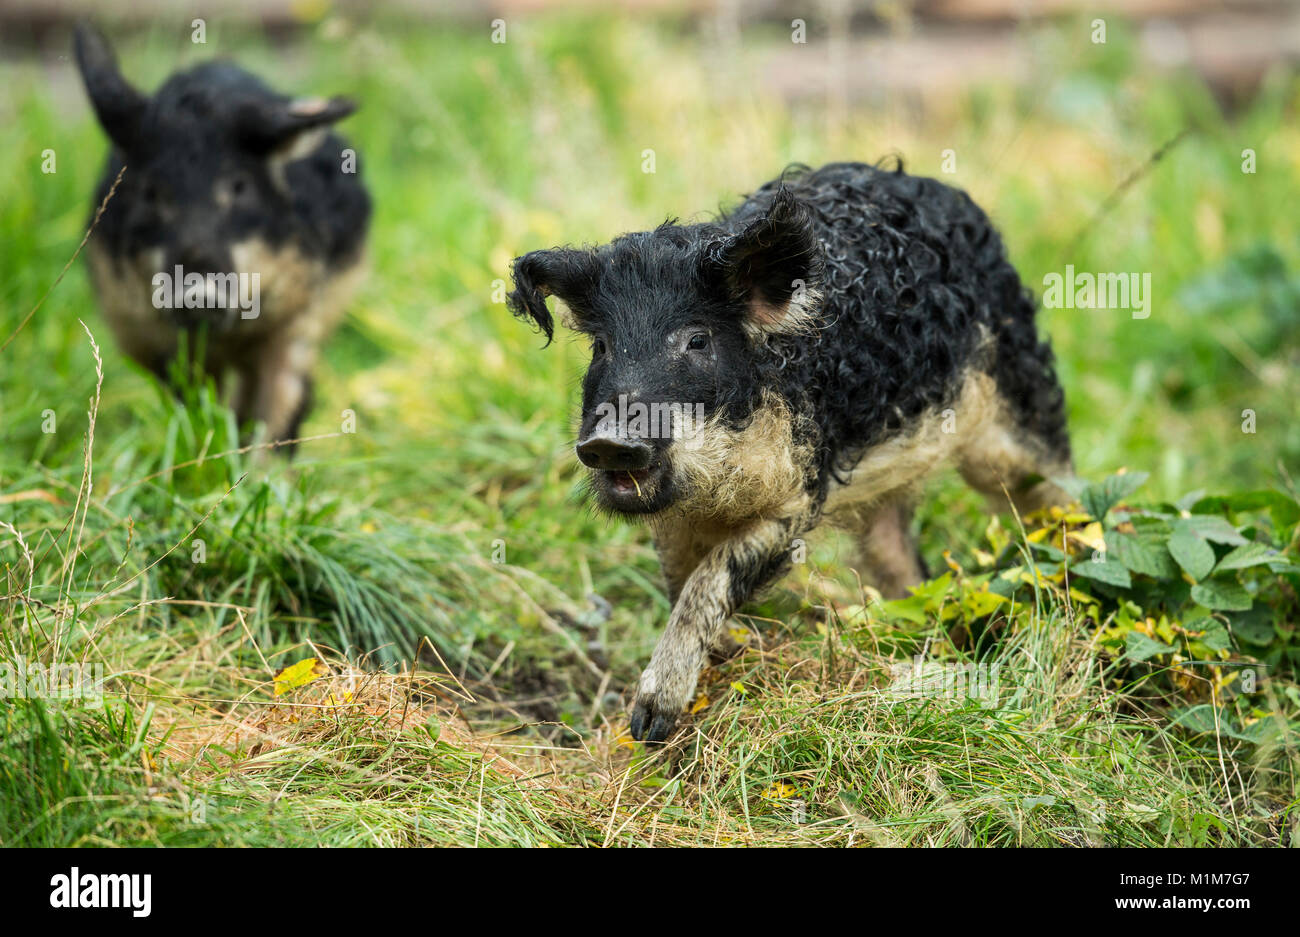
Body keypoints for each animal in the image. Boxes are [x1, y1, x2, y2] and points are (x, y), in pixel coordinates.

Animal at [73, 22, 369, 447]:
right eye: (150, 191)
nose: (198, 291)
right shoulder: (148, 335)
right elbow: (194, 405)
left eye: (239, 185)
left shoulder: (300, 318)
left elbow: (281, 407)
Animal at [509, 162, 1076, 743]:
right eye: (602, 346)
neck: (716, 481)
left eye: (696, 340)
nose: (609, 440)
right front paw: (724, 659)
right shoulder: (674, 517)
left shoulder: (799, 495)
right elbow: (678, 579)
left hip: (1017, 412)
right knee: (899, 559)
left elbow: (713, 576)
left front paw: (650, 723)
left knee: (1052, 486)